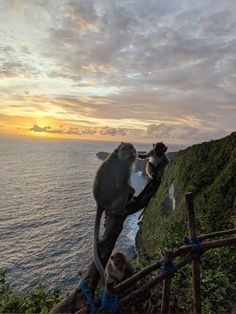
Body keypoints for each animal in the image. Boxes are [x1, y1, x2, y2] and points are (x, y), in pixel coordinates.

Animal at [92, 143, 136, 288]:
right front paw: (132, 192)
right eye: (125, 148)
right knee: (122, 192)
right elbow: (121, 185)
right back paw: (116, 211)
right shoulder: (122, 169)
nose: (132, 151)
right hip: (112, 201)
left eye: (131, 147)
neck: (120, 159)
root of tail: (99, 203)